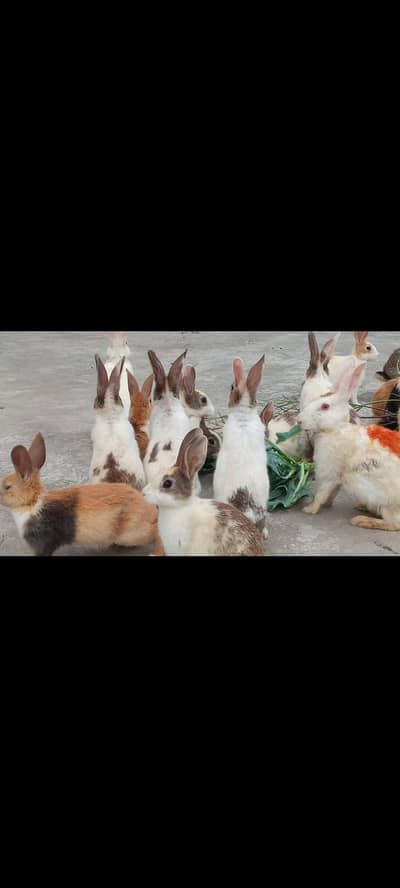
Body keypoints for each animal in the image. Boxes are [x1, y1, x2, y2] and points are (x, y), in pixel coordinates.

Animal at [0, 433, 164, 556]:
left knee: (156, 533)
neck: (32, 503)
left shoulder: (42, 543)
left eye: (7, 487)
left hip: (131, 535)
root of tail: (150, 509)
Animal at [297, 358, 400, 531]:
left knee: (393, 524)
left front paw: (309, 509)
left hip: (386, 502)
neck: (337, 428)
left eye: (325, 406)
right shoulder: (336, 478)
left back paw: (361, 520)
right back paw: (362, 507)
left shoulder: (330, 472)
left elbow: (322, 492)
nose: (299, 420)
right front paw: (327, 505)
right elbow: (332, 492)